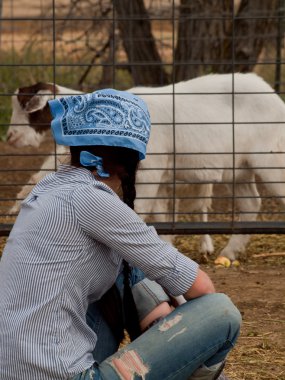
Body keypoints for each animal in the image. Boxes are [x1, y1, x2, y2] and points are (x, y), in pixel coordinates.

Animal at [6, 72, 284, 260]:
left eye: (30, 110)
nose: (10, 137)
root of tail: (274, 98)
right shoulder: (158, 175)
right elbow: (161, 214)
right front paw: (166, 245)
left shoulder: (151, 172)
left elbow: (139, 211)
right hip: (238, 168)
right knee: (251, 204)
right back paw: (229, 252)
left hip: (271, 160)